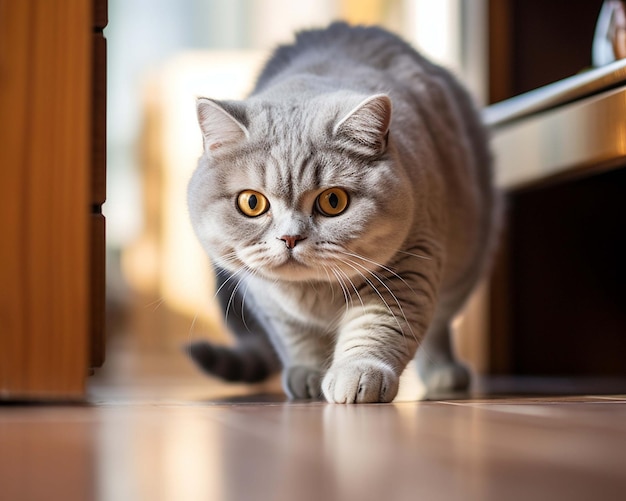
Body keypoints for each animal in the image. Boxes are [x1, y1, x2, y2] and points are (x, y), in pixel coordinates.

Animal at [185, 23, 498, 404]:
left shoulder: (407, 268)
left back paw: (444, 374)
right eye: (252, 203)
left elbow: (377, 328)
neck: (314, 293)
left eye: (333, 201)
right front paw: (307, 378)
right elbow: (298, 340)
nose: (290, 237)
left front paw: (358, 376)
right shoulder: (267, 301)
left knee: (439, 325)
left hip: (465, 262)